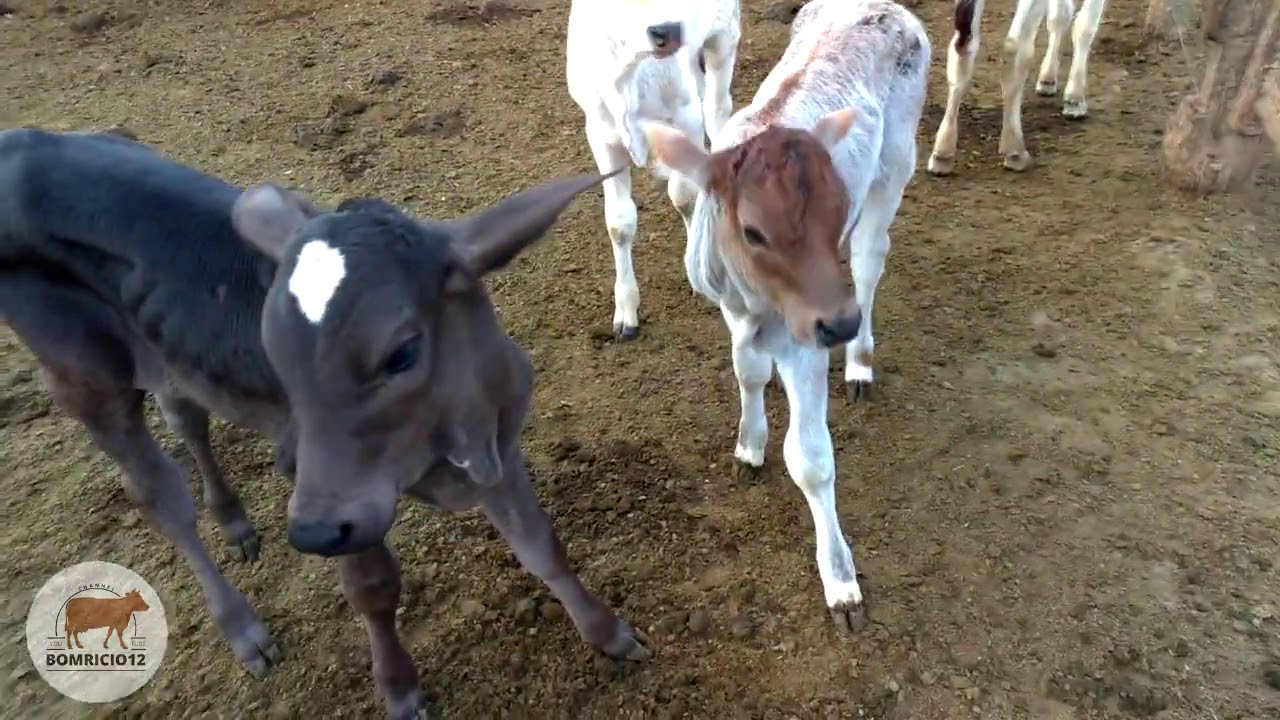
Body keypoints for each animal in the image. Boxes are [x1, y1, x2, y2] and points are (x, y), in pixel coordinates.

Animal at [0, 128, 647, 718]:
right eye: (276, 352)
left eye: (401, 354)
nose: (308, 533)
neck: (459, 435)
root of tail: (21, 140)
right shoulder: (329, 492)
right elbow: (373, 590)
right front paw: (399, 689)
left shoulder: (499, 446)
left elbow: (542, 546)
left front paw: (609, 634)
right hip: (85, 378)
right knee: (159, 497)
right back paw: (243, 628)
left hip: (164, 354)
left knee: (186, 417)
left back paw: (233, 520)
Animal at [566, 0, 741, 340]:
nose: (667, 31)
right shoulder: (602, 135)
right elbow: (619, 222)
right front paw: (626, 311)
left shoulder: (686, 118)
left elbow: (684, 195)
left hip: (724, 38)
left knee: (717, 108)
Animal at [638, 0, 930, 631]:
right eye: (753, 230)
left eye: (835, 209)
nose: (838, 326)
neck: (760, 301)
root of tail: (887, 9)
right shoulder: (731, 308)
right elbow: (746, 371)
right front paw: (749, 446)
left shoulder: (806, 341)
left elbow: (813, 461)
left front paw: (841, 583)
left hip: (896, 161)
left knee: (869, 260)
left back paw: (860, 363)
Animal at [927, 0, 1109, 175]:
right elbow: (1085, 25)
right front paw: (1074, 100)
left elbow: (1059, 16)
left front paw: (1047, 80)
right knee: (1013, 46)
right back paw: (1015, 150)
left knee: (963, 46)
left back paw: (942, 153)